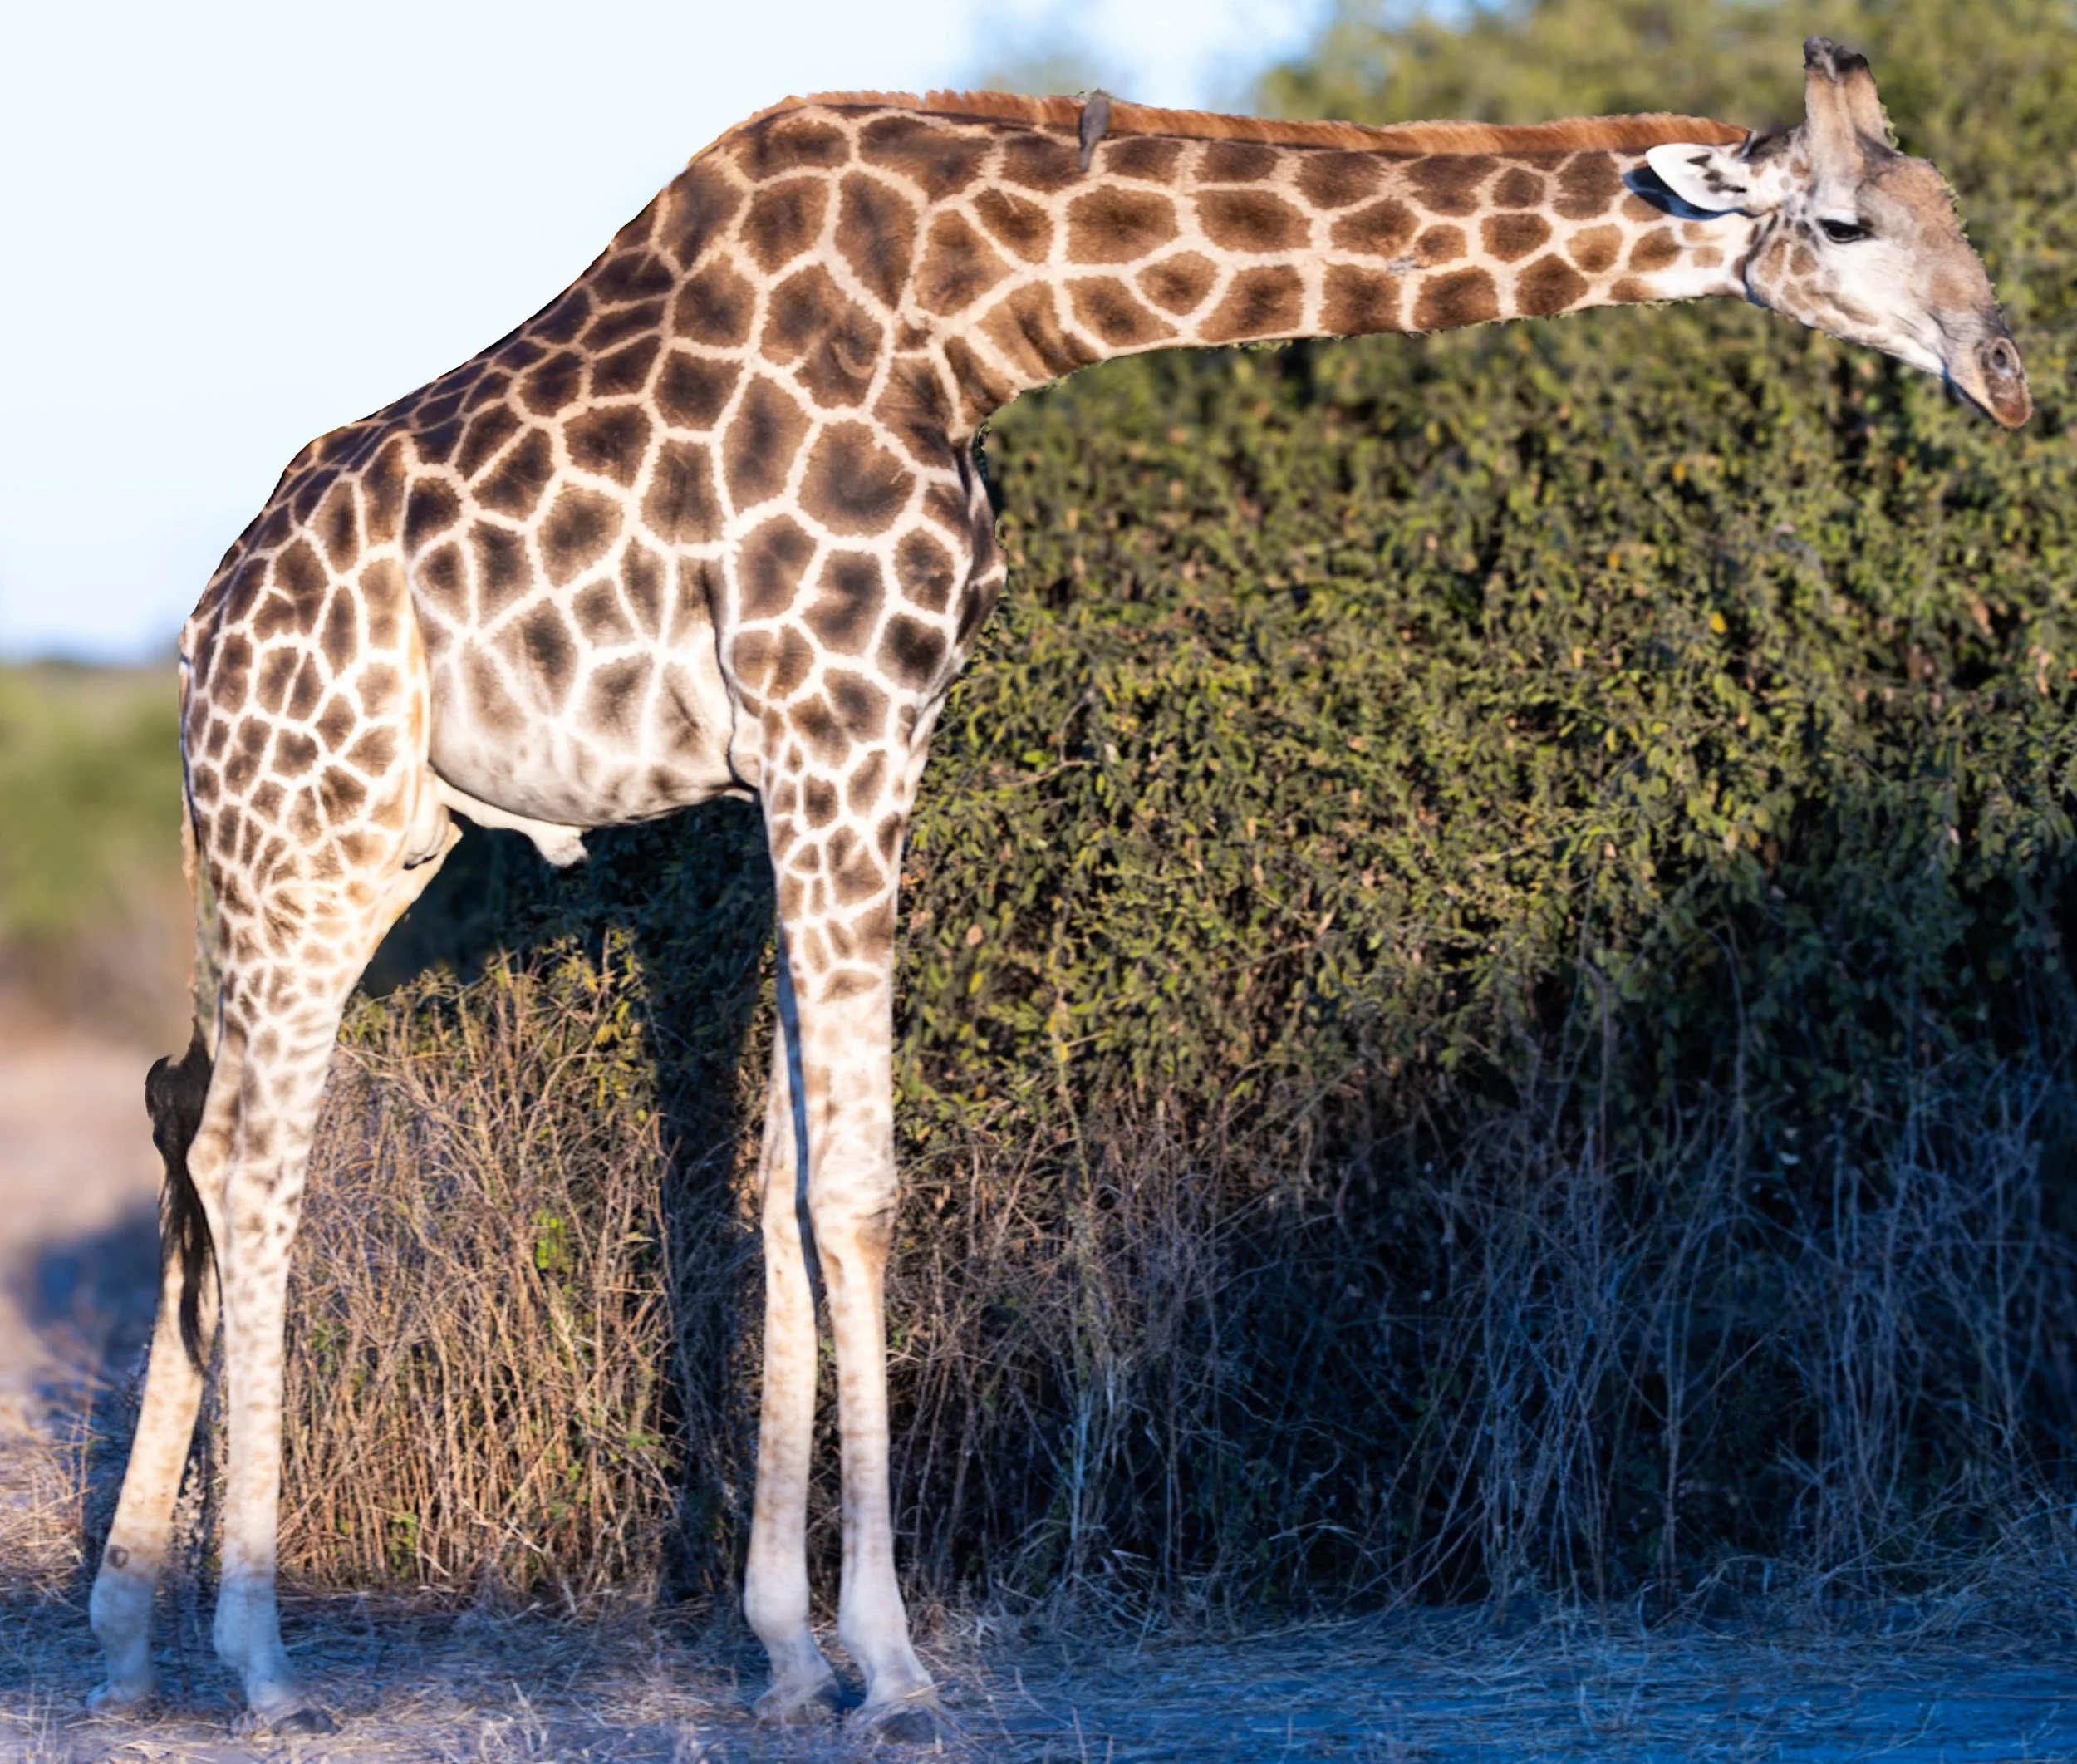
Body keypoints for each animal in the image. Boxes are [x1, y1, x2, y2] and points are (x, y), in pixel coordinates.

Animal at [91, 37, 2026, 1743]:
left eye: (1949, 200)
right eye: (1847, 223)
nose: (2007, 367)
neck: (974, 310)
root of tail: (203, 627)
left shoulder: (827, 759)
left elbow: (786, 1188)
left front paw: (784, 1650)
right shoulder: (838, 729)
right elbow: (858, 1189)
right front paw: (893, 1660)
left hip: (348, 841)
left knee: (188, 1109)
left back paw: (124, 1627)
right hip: (312, 823)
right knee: (252, 1153)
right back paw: (254, 1651)